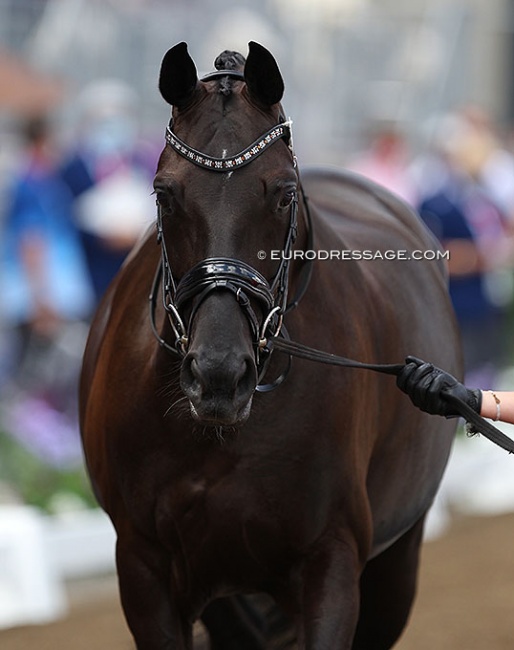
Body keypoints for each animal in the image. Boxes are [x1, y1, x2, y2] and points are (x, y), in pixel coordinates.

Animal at [79, 41, 460, 648]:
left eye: (283, 194)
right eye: (165, 192)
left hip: (396, 564)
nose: (218, 376)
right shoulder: (145, 569)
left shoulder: (331, 563)